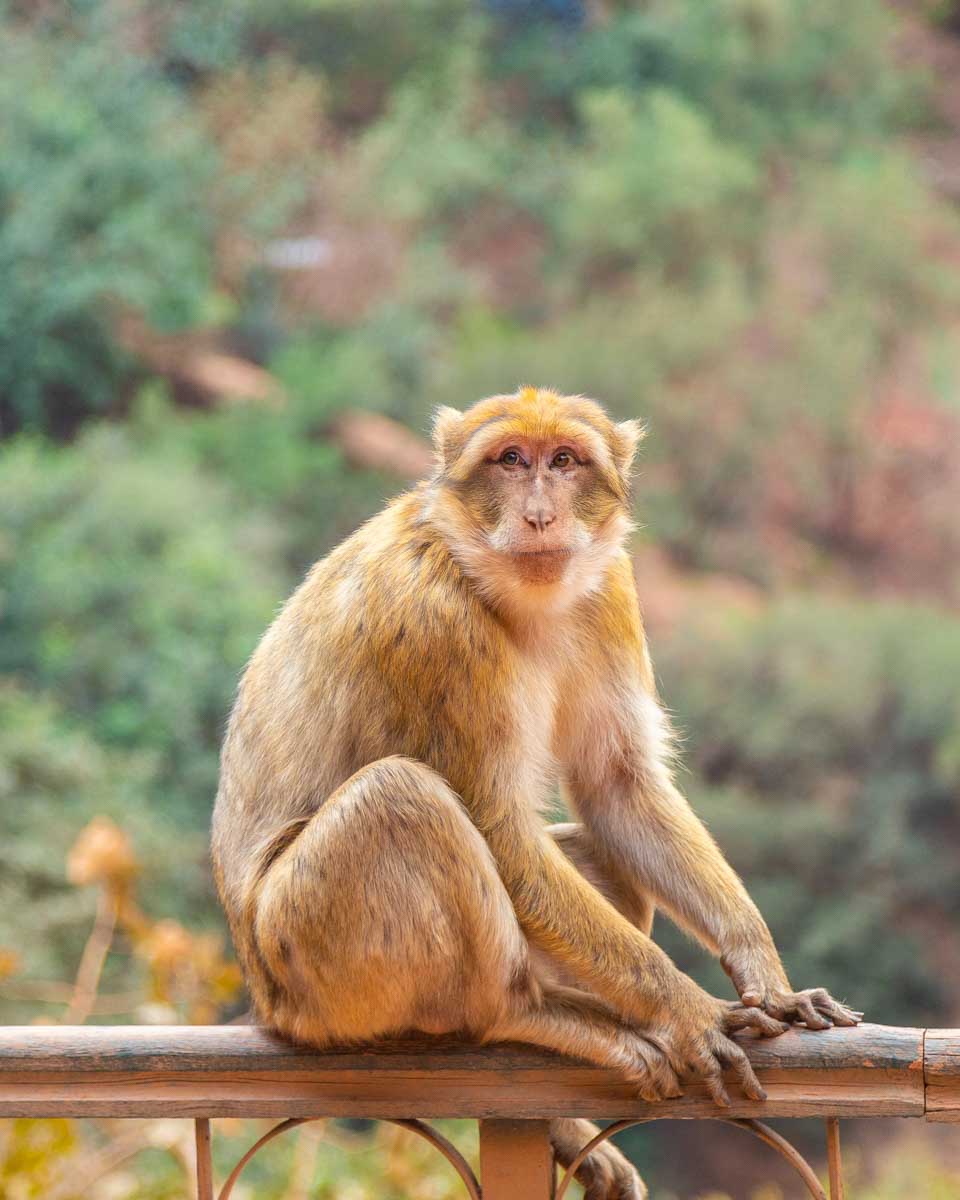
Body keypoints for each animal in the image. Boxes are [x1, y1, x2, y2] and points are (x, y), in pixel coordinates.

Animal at [212, 387, 861, 1200]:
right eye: (511, 460)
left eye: (566, 461)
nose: (543, 515)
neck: (485, 572)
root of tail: (266, 1000)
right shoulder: (435, 624)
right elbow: (499, 831)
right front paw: (686, 1011)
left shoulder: (609, 588)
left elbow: (618, 786)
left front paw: (762, 972)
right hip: (313, 969)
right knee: (403, 798)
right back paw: (523, 1015)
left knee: (595, 850)